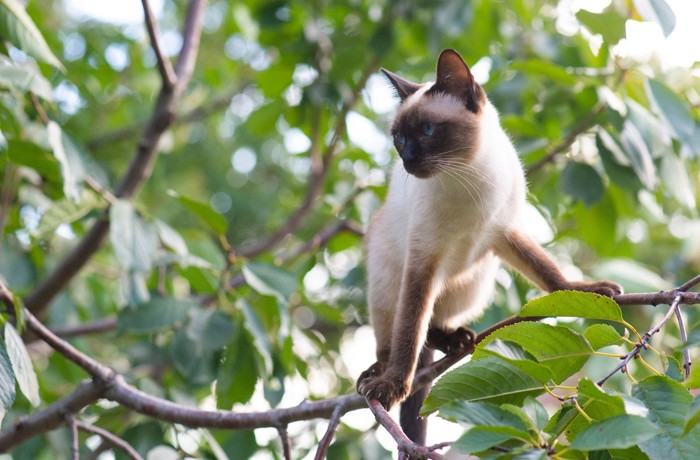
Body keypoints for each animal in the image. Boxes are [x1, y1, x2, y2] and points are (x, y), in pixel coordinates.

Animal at [358, 48, 620, 444]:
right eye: (398, 139)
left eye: (428, 130)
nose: (407, 160)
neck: (466, 178)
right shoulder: (423, 260)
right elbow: (409, 334)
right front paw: (392, 386)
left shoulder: (503, 233)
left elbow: (550, 274)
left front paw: (588, 290)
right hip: (389, 279)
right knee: (400, 334)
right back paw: (380, 370)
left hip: (474, 284)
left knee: (434, 324)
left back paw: (457, 339)